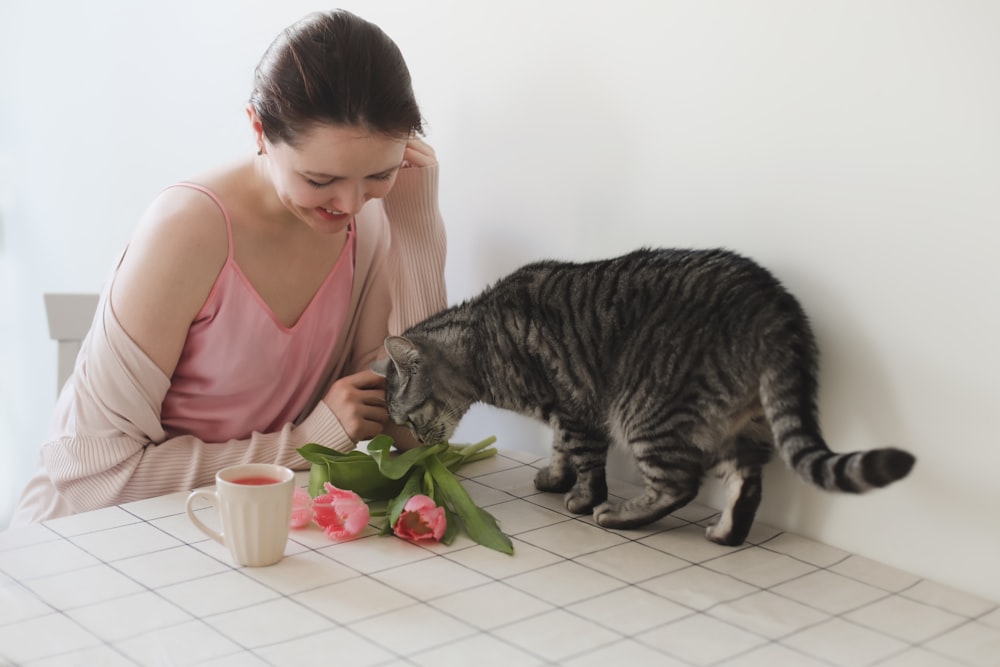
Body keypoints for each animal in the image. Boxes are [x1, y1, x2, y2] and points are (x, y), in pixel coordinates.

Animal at [374, 248, 916, 544]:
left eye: (410, 416)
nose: (426, 447)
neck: (482, 339)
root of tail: (776, 303)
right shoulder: (566, 411)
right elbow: (560, 447)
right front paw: (554, 475)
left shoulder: (577, 406)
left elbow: (585, 459)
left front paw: (580, 496)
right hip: (741, 423)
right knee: (747, 483)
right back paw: (727, 534)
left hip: (646, 410)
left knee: (680, 484)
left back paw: (619, 516)